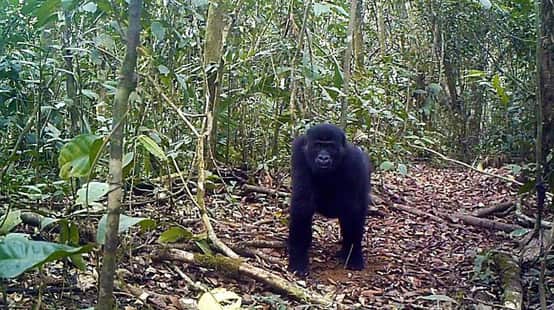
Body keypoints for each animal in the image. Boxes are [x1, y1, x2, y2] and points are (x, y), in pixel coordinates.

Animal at [286, 123, 368, 276]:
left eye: (330, 147)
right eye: (318, 145)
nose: (323, 157)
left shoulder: (355, 162)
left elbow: (353, 209)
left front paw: (353, 255)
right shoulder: (299, 154)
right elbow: (302, 203)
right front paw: (298, 259)